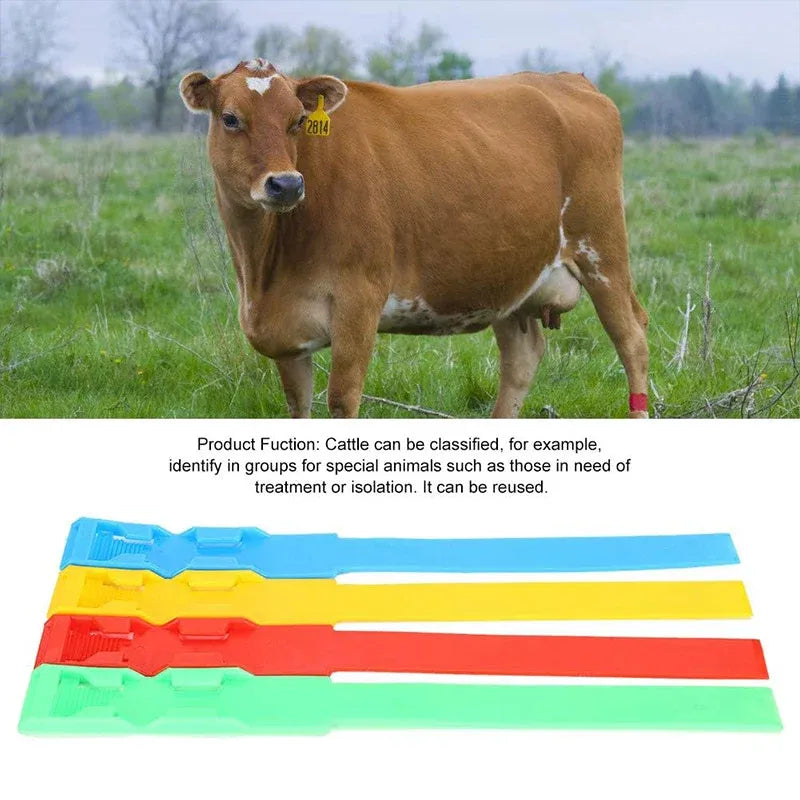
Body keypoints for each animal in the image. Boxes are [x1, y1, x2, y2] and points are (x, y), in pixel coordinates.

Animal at [180, 58, 649, 418]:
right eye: (230, 119)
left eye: (297, 121)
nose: (286, 185)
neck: (263, 270)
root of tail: (567, 78)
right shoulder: (287, 336)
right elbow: (298, 406)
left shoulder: (359, 301)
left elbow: (342, 400)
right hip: (510, 278)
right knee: (522, 359)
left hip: (603, 251)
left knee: (632, 340)